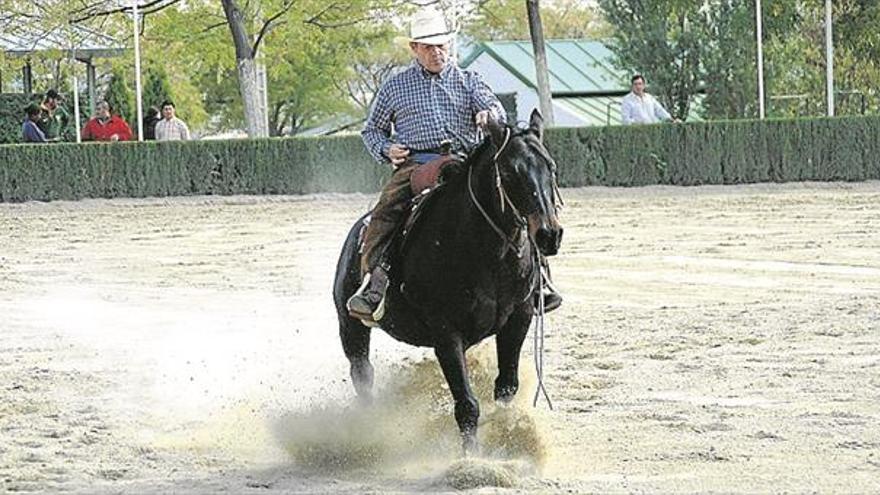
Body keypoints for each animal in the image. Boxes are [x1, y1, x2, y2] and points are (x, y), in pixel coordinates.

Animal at [330, 111, 564, 454]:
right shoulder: (445, 332)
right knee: (363, 374)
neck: (486, 253)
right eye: (509, 171)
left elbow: (506, 387)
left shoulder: (518, 319)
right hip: (351, 326)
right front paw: (472, 459)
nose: (549, 234)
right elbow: (467, 404)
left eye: (551, 166)